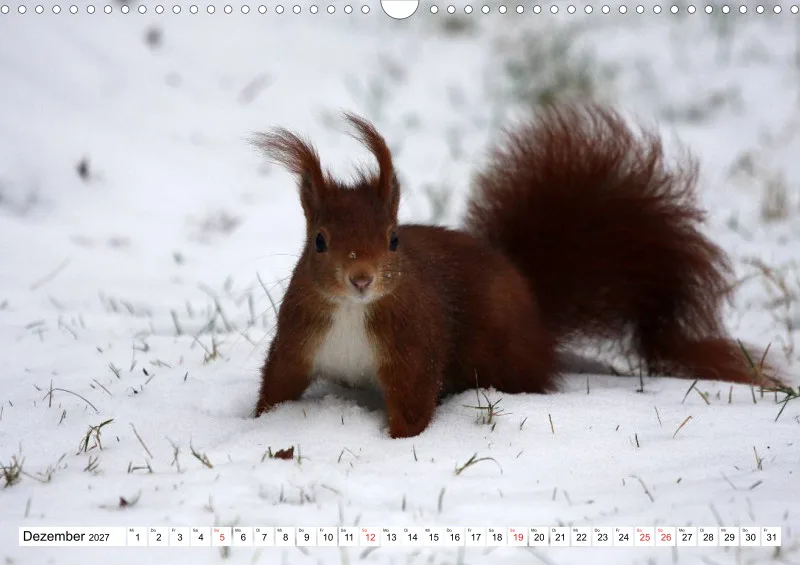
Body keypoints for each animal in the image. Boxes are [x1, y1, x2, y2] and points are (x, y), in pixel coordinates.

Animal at [253, 104, 771, 439]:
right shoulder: (299, 339)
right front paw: (258, 424)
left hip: (501, 355)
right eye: (319, 242)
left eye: (393, 239)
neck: (351, 312)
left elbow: (414, 401)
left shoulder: (412, 348)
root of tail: (533, 302)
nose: (361, 279)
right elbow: (279, 383)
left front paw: (398, 444)